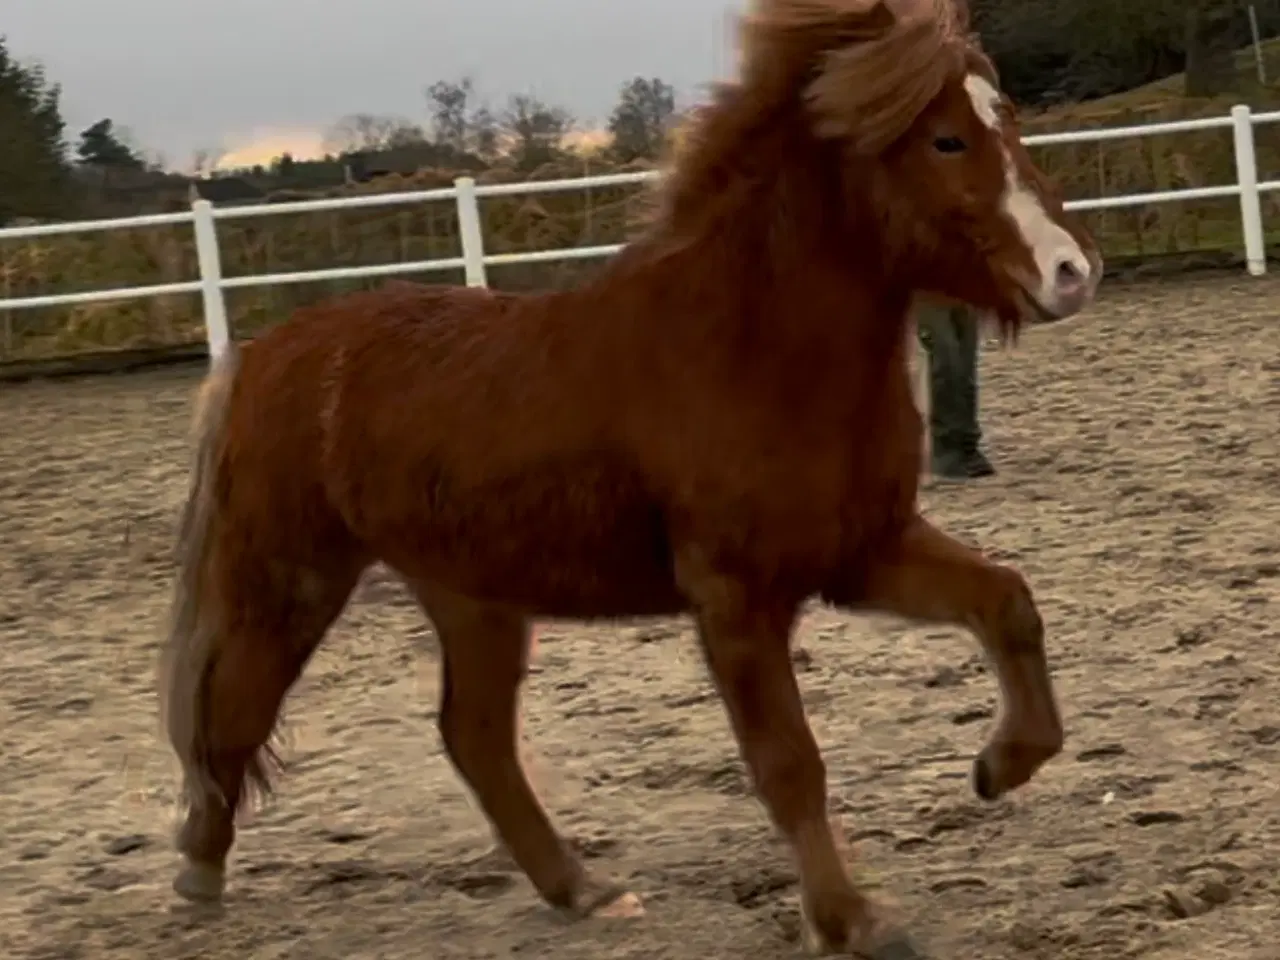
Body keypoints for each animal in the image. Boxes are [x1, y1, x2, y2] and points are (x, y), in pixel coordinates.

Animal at [160, 0, 1100, 957]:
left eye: (1007, 115)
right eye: (946, 139)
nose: (1072, 273)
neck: (752, 351)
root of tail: (263, 356)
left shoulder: (862, 552)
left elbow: (1008, 602)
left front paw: (1000, 767)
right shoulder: (736, 597)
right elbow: (789, 763)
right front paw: (853, 920)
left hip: (472, 595)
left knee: (474, 737)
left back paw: (582, 889)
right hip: (293, 579)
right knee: (233, 708)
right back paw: (199, 870)